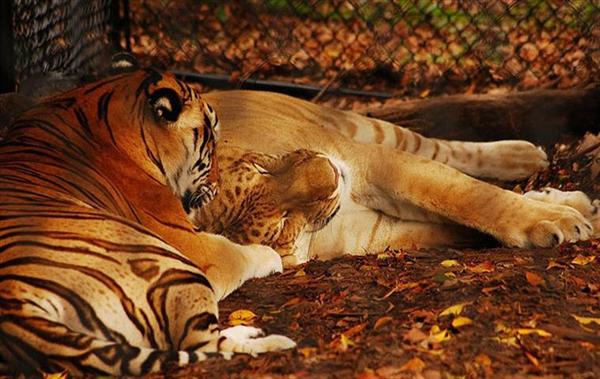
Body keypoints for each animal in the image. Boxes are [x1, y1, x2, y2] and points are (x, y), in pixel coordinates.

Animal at [0, 69, 296, 378]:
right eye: (211, 142)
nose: (218, 184)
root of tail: (16, 308)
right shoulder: (197, 245)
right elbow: (239, 251)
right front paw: (272, 256)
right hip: (178, 269)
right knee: (205, 345)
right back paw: (275, 341)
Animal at [191, 90, 596, 268]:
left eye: (262, 166)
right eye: (281, 223)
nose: (330, 172)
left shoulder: (371, 162)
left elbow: (470, 195)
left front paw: (556, 221)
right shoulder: (369, 233)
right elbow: (456, 224)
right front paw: (574, 219)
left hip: (361, 129)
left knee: (438, 148)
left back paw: (525, 156)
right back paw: (572, 200)